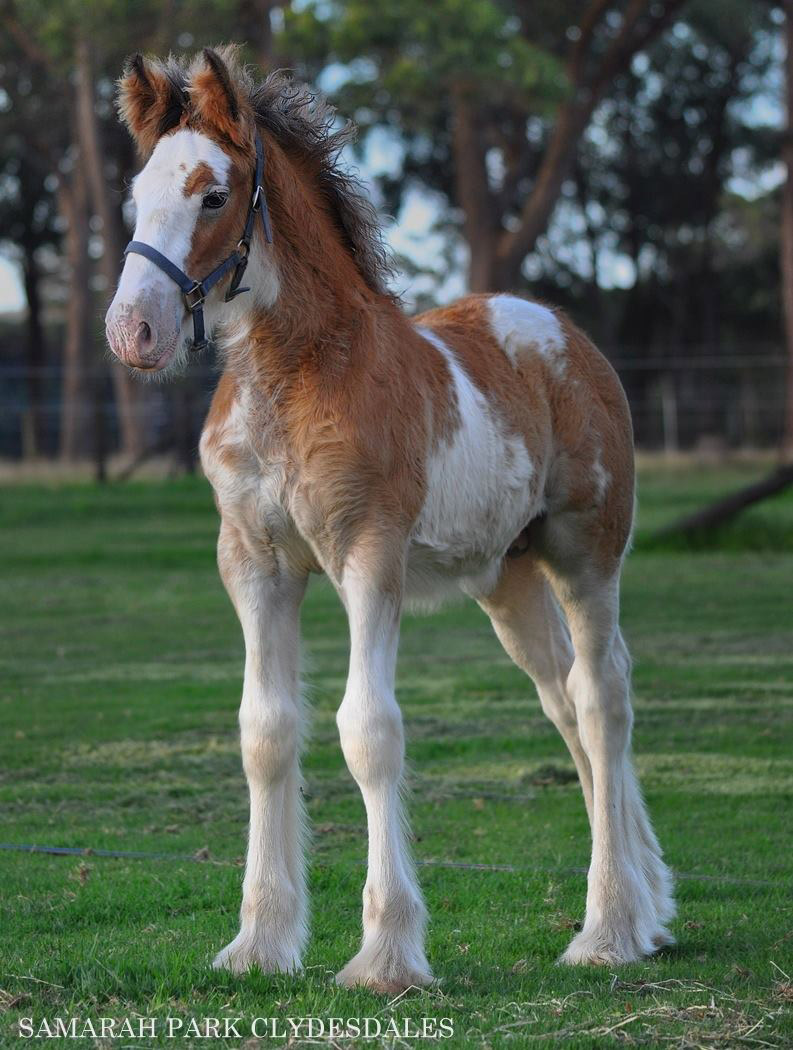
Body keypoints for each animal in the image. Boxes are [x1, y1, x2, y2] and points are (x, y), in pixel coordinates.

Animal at [105, 47, 676, 991]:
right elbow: (264, 731)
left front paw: (385, 955)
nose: (133, 331)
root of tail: (561, 330)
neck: (296, 378)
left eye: (213, 196)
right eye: (136, 193)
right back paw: (649, 905)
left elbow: (368, 731)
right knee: (562, 699)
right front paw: (259, 943)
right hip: (508, 578)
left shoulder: (368, 554)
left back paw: (607, 928)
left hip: (585, 553)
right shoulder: (252, 562)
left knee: (603, 700)